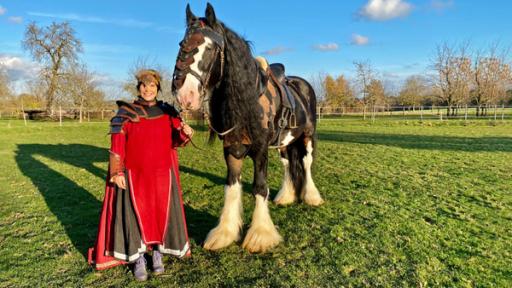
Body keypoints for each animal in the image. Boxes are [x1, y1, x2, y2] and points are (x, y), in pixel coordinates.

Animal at [172, 3, 324, 253]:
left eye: (210, 47)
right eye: (181, 44)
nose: (185, 95)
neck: (246, 100)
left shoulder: (260, 149)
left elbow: (259, 187)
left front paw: (260, 235)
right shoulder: (232, 149)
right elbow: (232, 186)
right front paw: (224, 233)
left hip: (308, 136)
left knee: (306, 162)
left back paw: (311, 196)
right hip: (284, 142)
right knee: (287, 164)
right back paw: (286, 196)